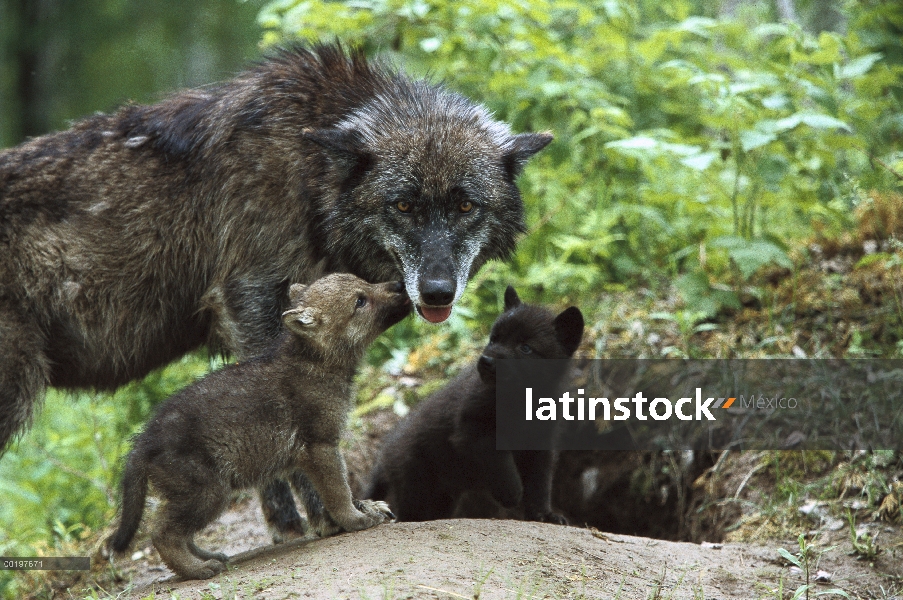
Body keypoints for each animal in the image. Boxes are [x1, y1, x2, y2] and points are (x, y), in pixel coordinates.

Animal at [0, 43, 552, 540]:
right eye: (403, 206)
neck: (311, 174)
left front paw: (291, 521)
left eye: (465, 206)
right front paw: (328, 517)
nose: (437, 292)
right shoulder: (251, 302)